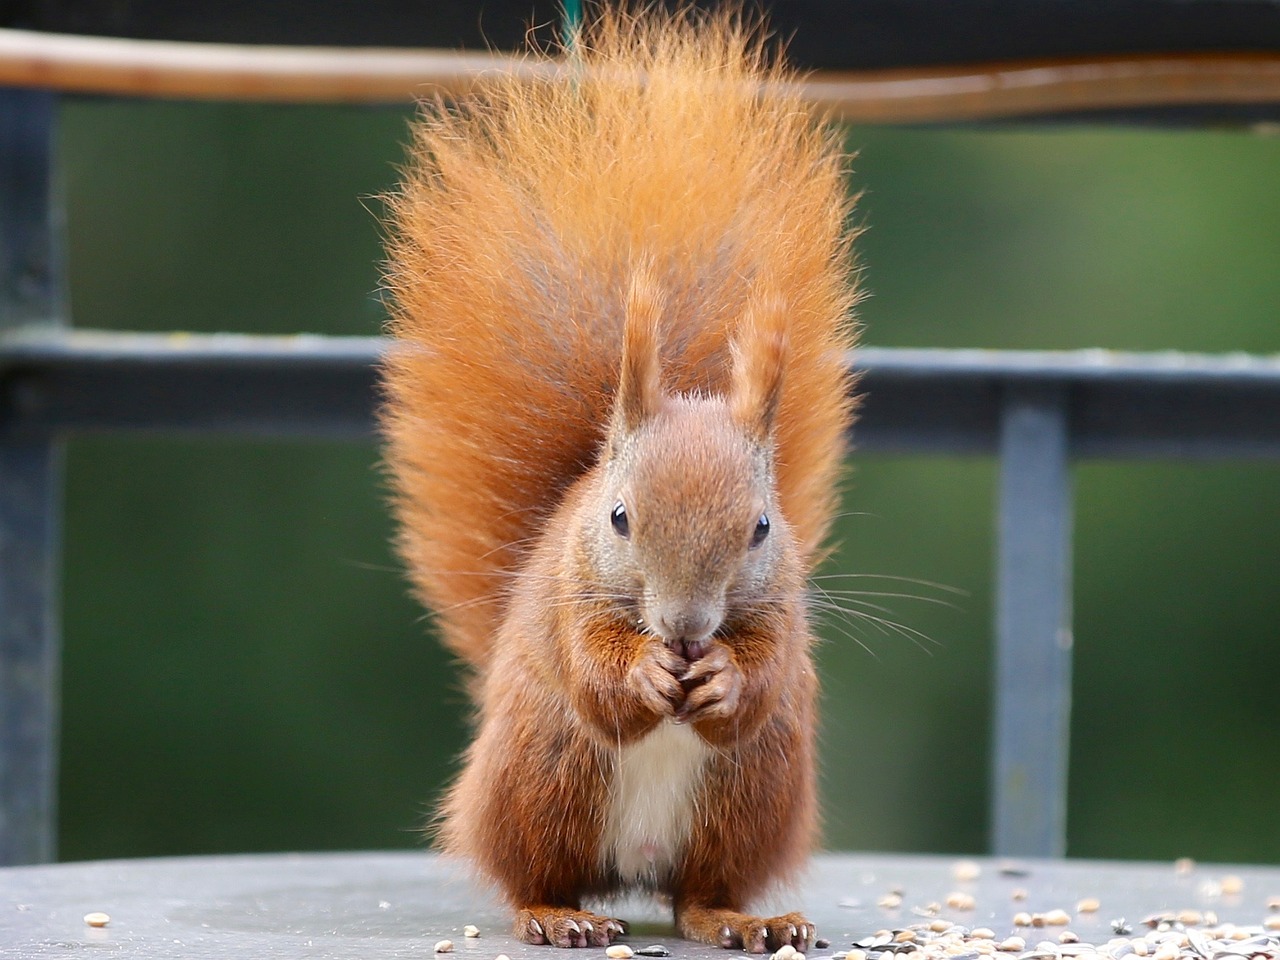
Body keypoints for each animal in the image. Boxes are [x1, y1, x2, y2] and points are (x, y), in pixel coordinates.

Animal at [378, 5, 860, 957]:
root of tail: (632, 869)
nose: (685, 631)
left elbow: (761, 679)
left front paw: (724, 679)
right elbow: (597, 675)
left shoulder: (780, 608)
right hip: (543, 776)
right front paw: (640, 676)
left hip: (749, 796)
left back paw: (744, 919)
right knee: (533, 870)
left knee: (697, 892)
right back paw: (556, 914)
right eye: (619, 518)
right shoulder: (571, 598)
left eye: (762, 527)